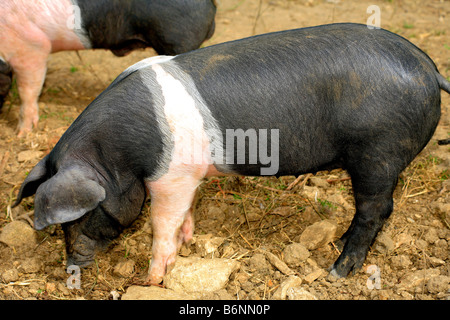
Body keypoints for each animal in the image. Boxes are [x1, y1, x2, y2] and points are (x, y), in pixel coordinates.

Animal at [12, 23, 448, 284]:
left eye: (80, 216)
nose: (72, 266)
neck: (116, 154)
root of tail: (428, 67)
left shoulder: (170, 176)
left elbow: (162, 225)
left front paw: (152, 280)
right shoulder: (187, 177)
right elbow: (184, 215)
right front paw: (188, 242)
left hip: (379, 151)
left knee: (377, 210)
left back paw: (337, 271)